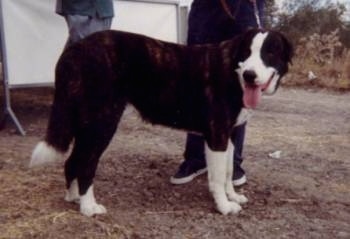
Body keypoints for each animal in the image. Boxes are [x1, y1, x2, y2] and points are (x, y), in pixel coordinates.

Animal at [30, 28, 292, 217]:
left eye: (270, 53)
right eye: (246, 53)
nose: (249, 75)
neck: (234, 70)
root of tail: (75, 49)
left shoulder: (227, 135)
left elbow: (228, 172)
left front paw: (232, 196)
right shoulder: (217, 135)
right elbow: (218, 177)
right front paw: (224, 206)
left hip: (86, 123)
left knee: (72, 161)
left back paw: (74, 198)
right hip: (102, 122)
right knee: (85, 163)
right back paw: (88, 207)